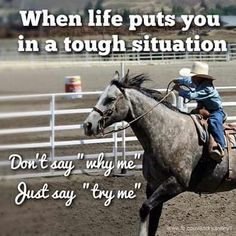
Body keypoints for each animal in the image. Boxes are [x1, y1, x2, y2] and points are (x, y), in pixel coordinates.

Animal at [84, 72, 235, 236]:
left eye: (110, 99)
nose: (87, 125)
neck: (169, 133)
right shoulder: (153, 185)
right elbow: (153, 220)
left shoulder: (176, 183)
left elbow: (144, 209)